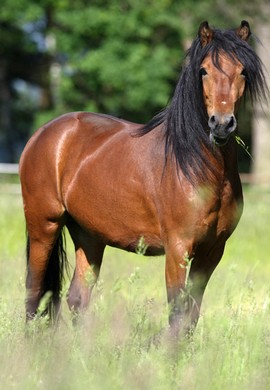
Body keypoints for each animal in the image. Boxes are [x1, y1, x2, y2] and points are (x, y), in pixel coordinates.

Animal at [19, 20, 268, 336]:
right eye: (203, 71)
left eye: (243, 71)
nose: (222, 124)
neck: (197, 168)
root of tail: (44, 133)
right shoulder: (178, 249)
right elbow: (177, 314)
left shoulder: (212, 251)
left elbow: (191, 316)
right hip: (44, 225)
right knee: (34, 292)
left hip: (89, 235)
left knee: (77, 298)